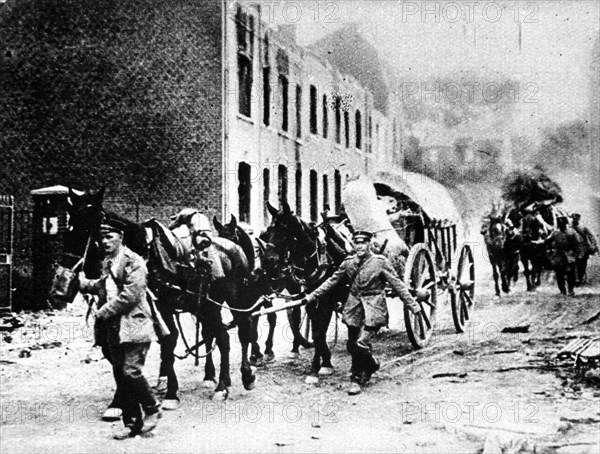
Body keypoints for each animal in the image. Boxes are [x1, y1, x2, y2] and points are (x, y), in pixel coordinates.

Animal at [66, 188, 258, 404]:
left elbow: (168, 343)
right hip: (205, 306)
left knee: (236, 334)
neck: (147, 256)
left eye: (87, 226)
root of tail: (233, 246)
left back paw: (234, 381)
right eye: (69, 226)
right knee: (215, 335)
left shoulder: (165, 307)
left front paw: (170, 393)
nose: (71, 268)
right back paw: (213, 377)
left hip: (233, 301)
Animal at [262, 202, 350, 376]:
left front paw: (325, 363)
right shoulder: (310, 299)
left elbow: (320, 332)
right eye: (269, 231)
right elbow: (316, 332)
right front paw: (318, 362)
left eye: (284, 232)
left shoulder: (326, 302)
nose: (268, 261)